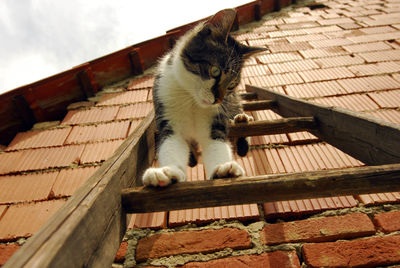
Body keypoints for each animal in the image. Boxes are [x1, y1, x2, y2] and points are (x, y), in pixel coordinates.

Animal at [143, 8, 266, 186]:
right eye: (215, 71)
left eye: (231, 85)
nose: (218, 100)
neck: (192, 100)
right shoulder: (166, 108)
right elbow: (172, 144)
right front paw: (166, 172)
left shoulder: (215, 118)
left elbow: (216, 142)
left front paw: (222, 169)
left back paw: (241, 119)